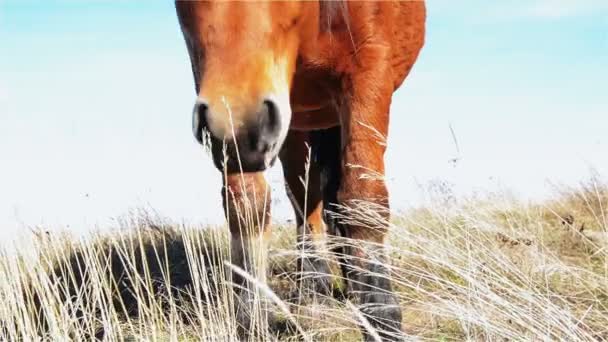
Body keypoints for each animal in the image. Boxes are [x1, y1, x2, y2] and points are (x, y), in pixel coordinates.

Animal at [173, 1, 426, 340]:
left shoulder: (369, 71)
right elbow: (248, 206)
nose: (239, 123)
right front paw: (251, 320)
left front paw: (383, 322)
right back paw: (315, 292)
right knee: (307, 197)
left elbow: (363, 201)